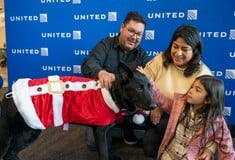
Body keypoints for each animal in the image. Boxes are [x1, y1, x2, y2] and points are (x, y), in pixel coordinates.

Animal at [0, 63, 157, 159]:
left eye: (150, 87)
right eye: (139, 88)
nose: (155, 106)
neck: (113, 93)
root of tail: (9, 95)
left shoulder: (105, 130)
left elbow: (107, 148)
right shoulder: (99, 132)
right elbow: (103, 152)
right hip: (28, 131)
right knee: (9, 154)